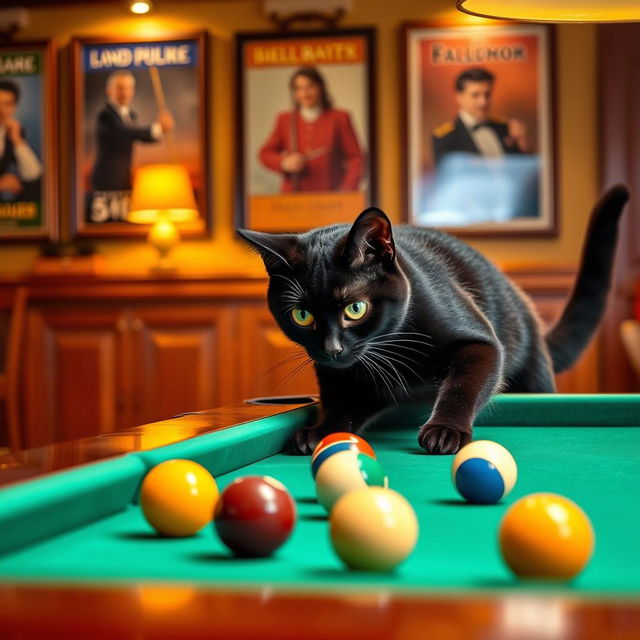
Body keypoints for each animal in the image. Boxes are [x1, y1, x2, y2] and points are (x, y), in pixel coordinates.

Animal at [239, 185, 632, 456]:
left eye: (355, 309)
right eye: (302, 315)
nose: (332, 348)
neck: (392, 352)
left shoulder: (481, 343)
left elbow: (462, 385)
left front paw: (445, 430)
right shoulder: (344, 378)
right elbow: (340, 404)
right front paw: (322, 432)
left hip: (534, 375)